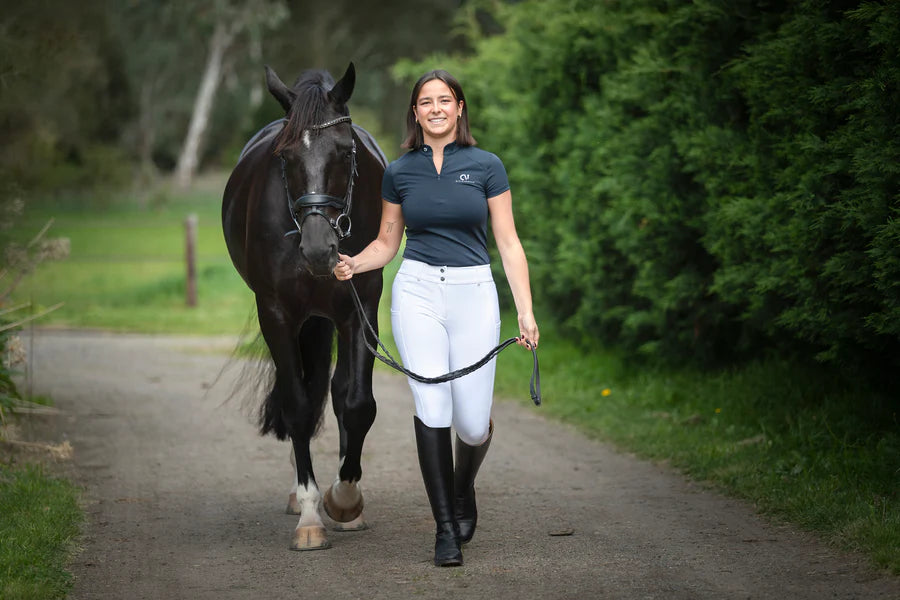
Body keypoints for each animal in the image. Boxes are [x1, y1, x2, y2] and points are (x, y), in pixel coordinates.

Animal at [221, 63, 386, 552]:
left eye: (345, 152)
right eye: (286, 155)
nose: (318, 250)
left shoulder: (361, 310)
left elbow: (356, 402)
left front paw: (344, 499)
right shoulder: (276, 314)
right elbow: (296, 406)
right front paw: (312, 515)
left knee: (334, 391)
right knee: (306, 398)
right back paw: (301, 497)